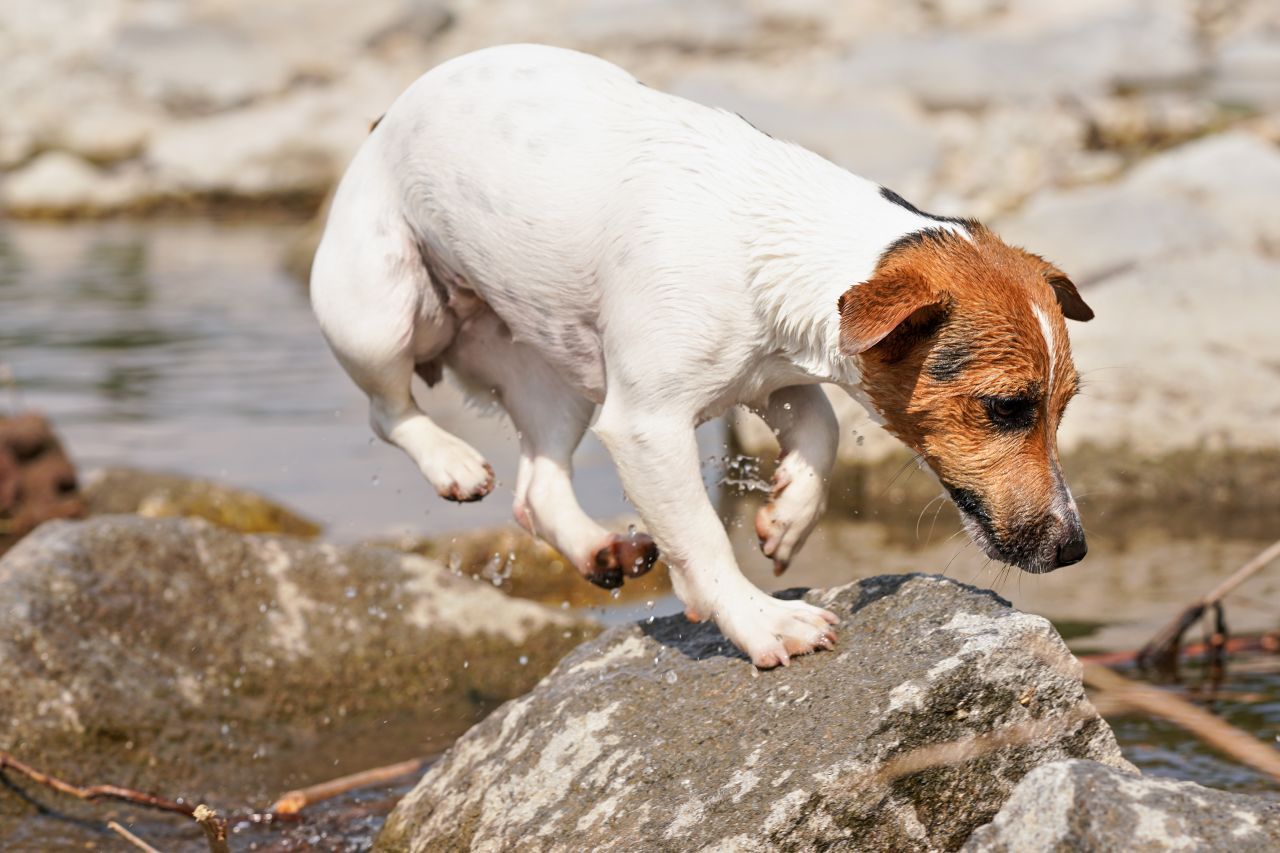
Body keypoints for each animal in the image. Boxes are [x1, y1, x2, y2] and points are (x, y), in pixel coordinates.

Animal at [309, 43, 1090, 666]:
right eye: (1006, 407)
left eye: (1065, 406)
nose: (1074, 550)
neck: (782, 234)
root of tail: (384, 120)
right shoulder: (645, 426)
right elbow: (706, 539)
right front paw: (760, 620)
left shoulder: (772, 375)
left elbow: (822, 430)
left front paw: (789, 514)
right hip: (381, 311)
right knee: (388, 411)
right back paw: (450, 459)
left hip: (555, 376)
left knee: (538, 488)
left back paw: (595, 547)